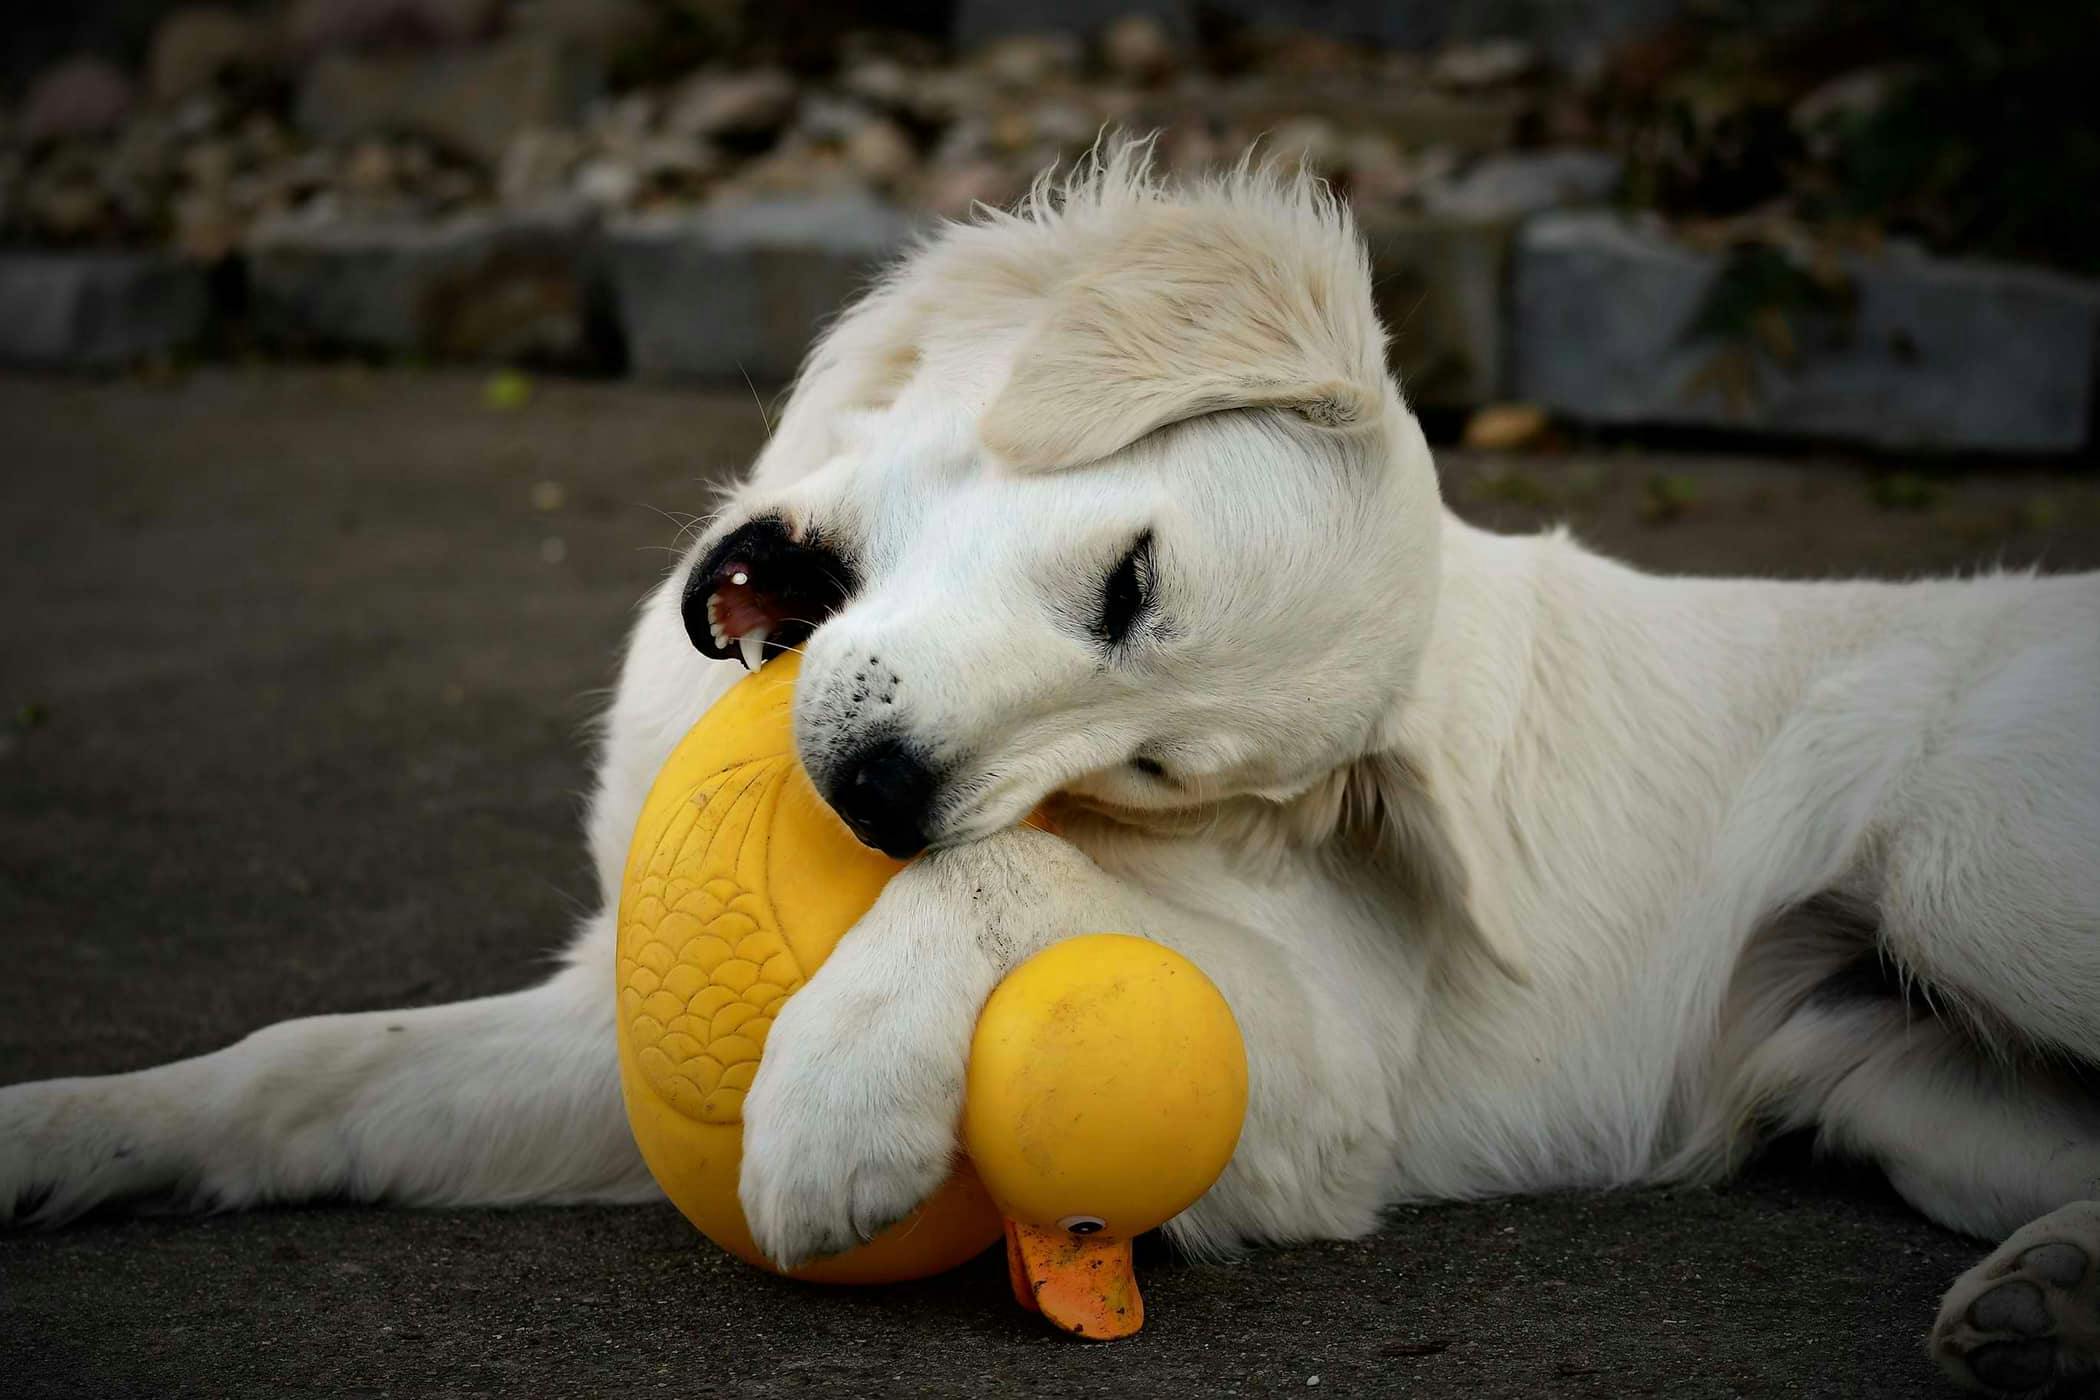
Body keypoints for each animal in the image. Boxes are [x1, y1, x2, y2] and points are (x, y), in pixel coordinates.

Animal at [4, 147, 2100, 1393]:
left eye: (1159, 771)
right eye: (1131, 583)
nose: (875, 801)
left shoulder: (1325, 1084)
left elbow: (1015, 881)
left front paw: (844, 1098)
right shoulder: (595, 1020)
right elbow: (305, 1064)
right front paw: (62, 1133)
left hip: (1969, 871)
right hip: (1886, 1075)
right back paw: (2055, 1296)